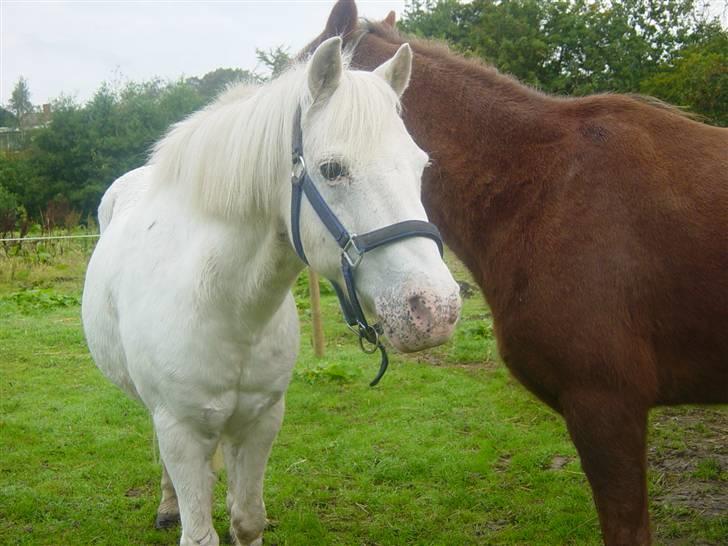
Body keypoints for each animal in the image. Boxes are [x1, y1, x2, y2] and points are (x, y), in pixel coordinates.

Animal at [82, 38, 460, 544]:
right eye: (332, 169)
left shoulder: (261, 421)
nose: (436, 310)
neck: (228, 307)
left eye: (420, 166)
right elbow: (198, 532)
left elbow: (247, 518)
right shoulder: (180, 429)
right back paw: (167, 505)